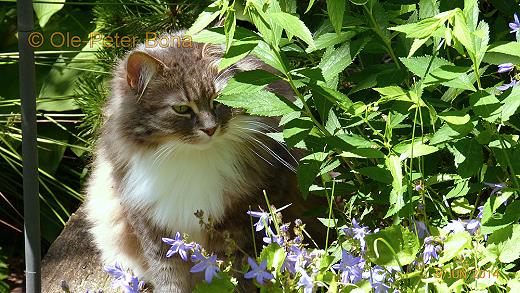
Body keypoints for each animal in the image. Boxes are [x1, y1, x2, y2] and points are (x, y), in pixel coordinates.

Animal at [85, 32, 314, 292]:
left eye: (218, 100)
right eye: (181, 108)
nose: (211, 129)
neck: (190, 157)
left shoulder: (241, 218)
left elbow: (236, 274)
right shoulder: (152, 227)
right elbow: (169, 278)